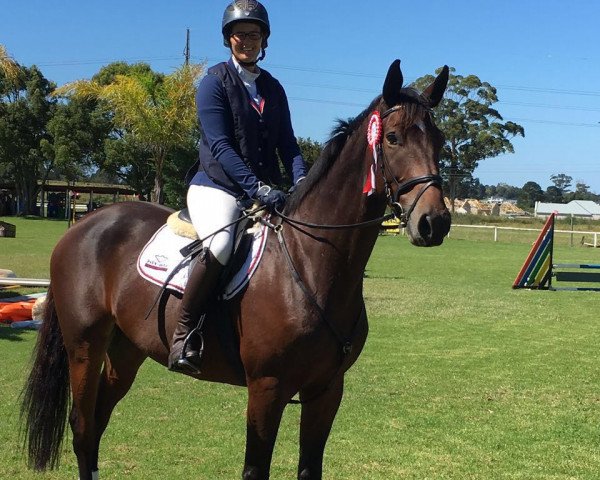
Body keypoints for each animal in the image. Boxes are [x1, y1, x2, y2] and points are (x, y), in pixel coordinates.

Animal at [21, 60, 450, 480]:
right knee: (82, 427)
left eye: (440, 140)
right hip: (84, 345)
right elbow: (254, 468)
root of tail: (84, 224)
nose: (435, 222)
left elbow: (310, 467)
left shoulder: (327, 389)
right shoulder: (267, 388)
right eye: (392, 138)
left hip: (126, 350)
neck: (311, 263)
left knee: (98, 421)